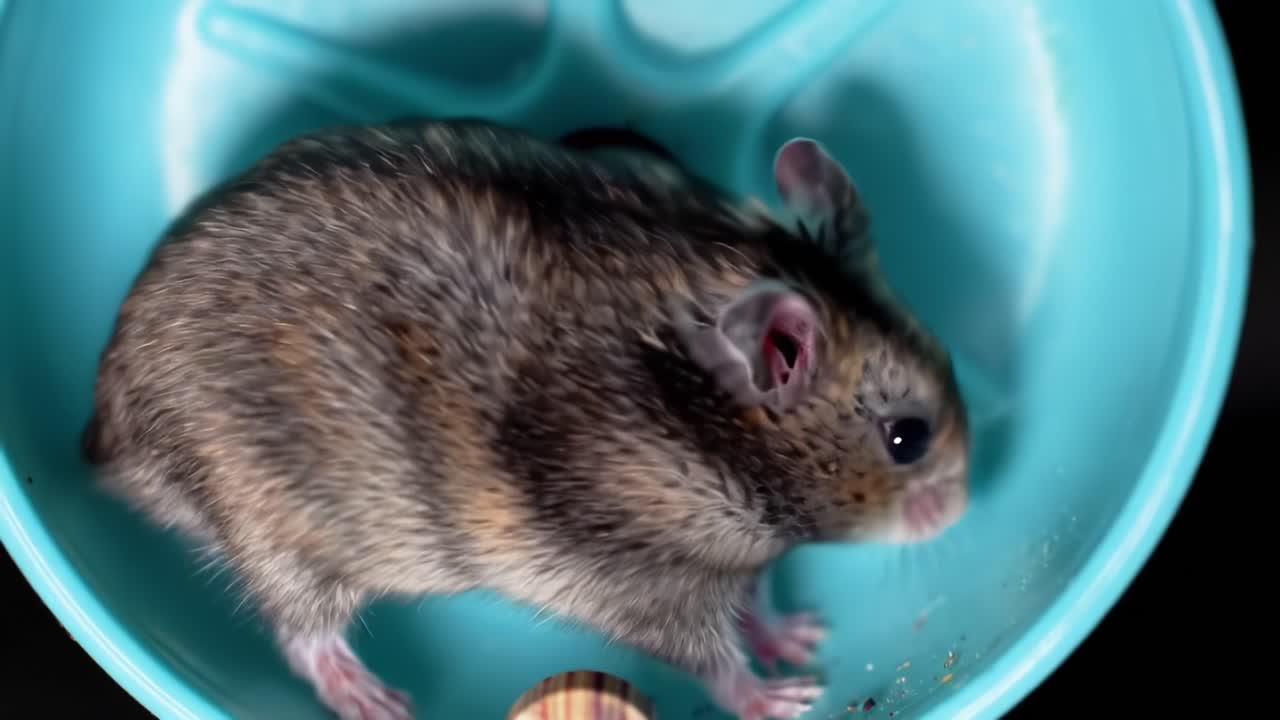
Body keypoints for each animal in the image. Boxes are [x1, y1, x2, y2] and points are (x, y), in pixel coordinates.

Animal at [82, 118, 970, 720]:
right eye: (907, 439)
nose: (964, 508)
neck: (709, 435)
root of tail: (104, 432)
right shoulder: (648, 588)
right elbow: (711, 658)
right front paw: (784, 697)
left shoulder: (731, 560)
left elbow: (758, 599)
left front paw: (804, 638)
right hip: (279, 528)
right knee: (301, 636)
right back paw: (376, 700)